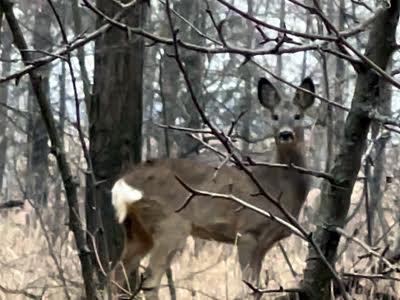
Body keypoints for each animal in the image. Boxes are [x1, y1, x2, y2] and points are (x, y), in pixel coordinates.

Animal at [110, 76, 316, 298]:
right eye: (275, 116)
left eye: (297, 116)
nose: (285, 134)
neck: (278, 187)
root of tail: (123, 183)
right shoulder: (247, 231)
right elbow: (248, 287)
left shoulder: (266, 241)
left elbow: (257, 288)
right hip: (170, 224)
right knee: (149, 279)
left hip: (137, 229)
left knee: (117, 274)